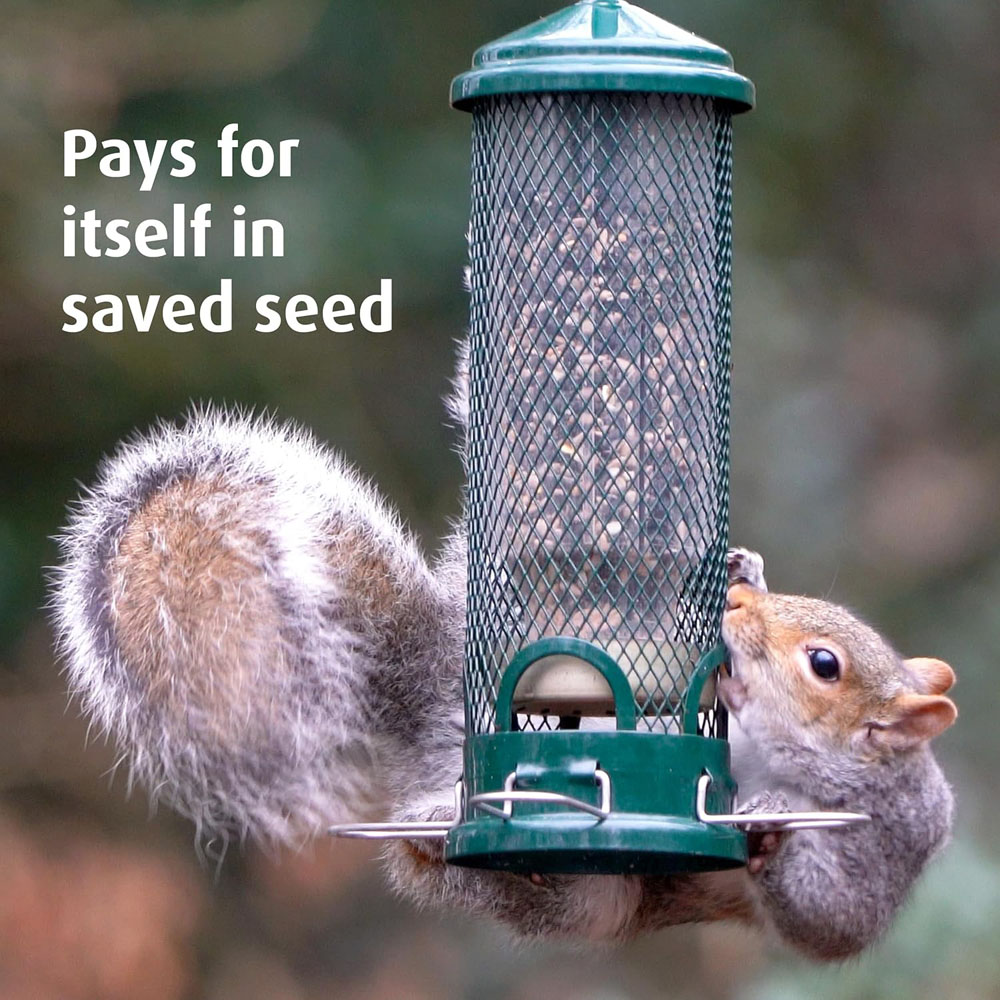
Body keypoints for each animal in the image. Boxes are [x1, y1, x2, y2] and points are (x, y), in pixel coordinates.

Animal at [49, 363, 957, 961]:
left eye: (824, 665)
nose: (733, 616)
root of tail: (433, 718)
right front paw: (745, 572)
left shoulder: (881, 852)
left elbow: (828, 919)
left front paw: (769, 820)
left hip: (595, 889)